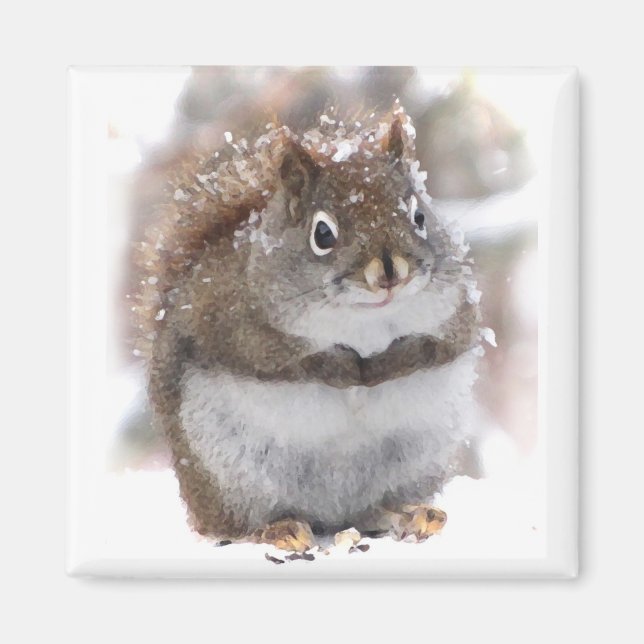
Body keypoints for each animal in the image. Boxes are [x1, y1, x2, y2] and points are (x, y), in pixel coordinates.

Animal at [132, 103, 485, 552]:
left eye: (419, 216)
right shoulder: (231, 320)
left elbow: (438, 347)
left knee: (374, 508)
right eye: (322, 233)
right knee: (232, 525)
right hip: (227, 471)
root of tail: (331, 515)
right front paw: (342, 368)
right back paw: (276, 529)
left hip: (415, 460)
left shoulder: (456, 313)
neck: (365, 319)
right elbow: (280, 360)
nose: (390, 272)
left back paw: (411, 514)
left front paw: (387, 364)